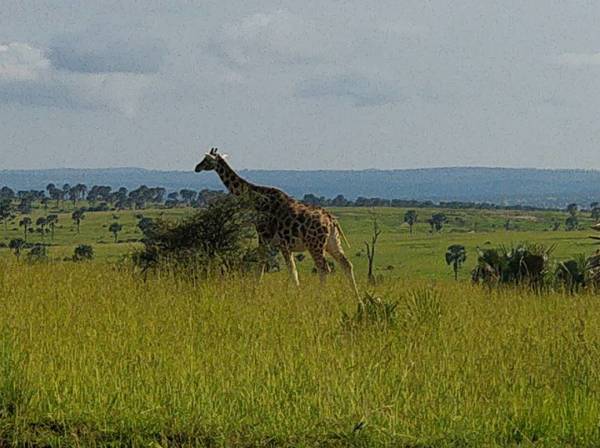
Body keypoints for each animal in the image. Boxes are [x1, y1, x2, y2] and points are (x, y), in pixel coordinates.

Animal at [195, 147, 358, 300]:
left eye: (206, 159)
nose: (197, 167)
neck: (257, 201)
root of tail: (331, 220)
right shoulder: (284, 245)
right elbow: (293, 271)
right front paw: (298, 294)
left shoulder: (264, 237)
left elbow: (262, 265)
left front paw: (254, 293)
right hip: (332, 242)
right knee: (347, 265)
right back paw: (358, 299)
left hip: (315, 244)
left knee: (324, 268)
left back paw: (320, 297)